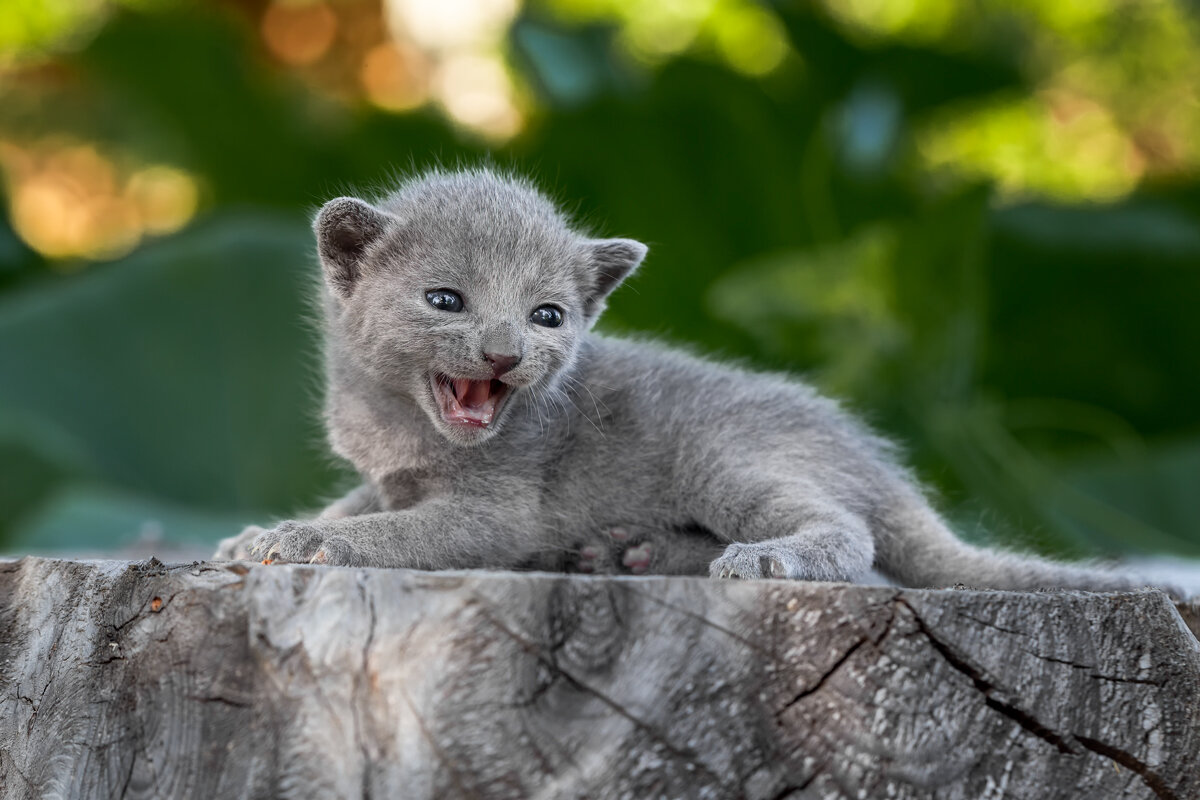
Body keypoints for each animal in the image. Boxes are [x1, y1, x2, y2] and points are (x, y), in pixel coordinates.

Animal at [216, 167, 1171, 594]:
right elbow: (360, 503)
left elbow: (400, 531)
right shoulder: (389, 474)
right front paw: (256, 534)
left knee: (851, 536)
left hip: (731, 460)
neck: (401, 423)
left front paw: (306, 543)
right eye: (446, 300)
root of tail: (877, 462)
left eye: (548, 316)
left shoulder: (499, 508)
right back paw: (628, 552)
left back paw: (763, 558)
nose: (504, 355)